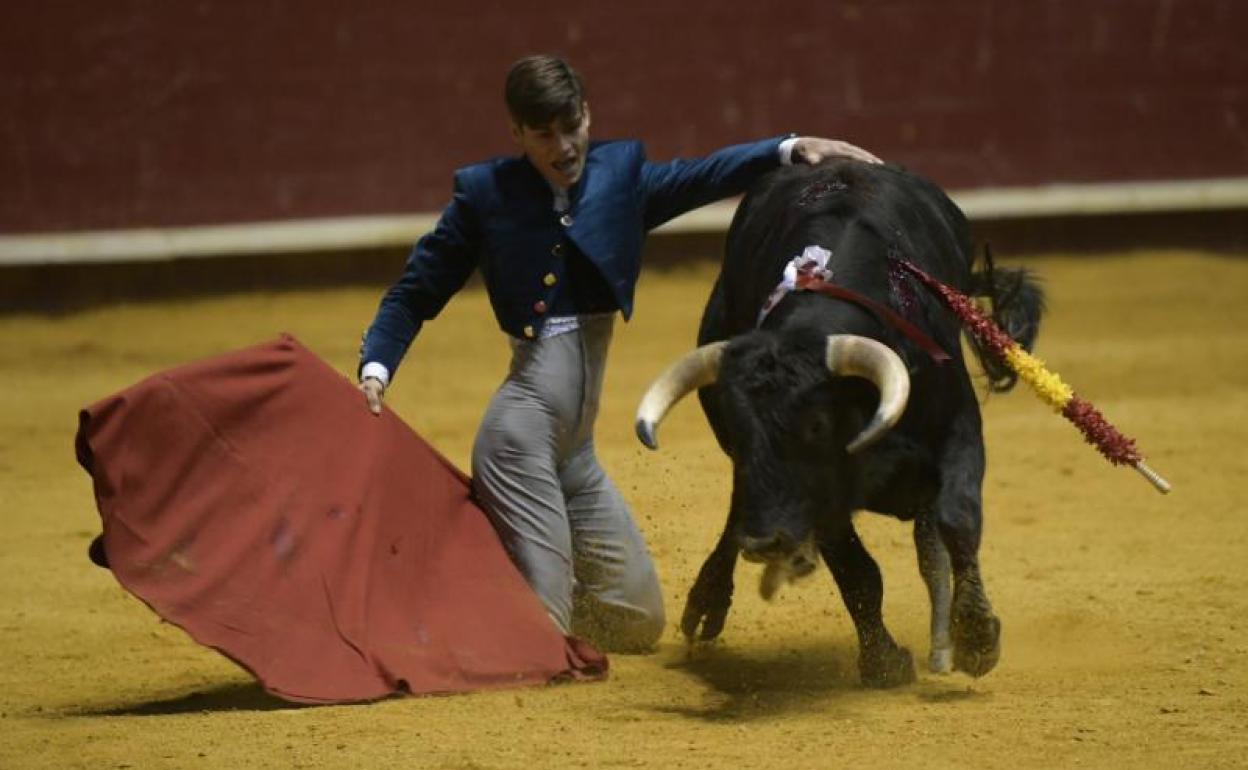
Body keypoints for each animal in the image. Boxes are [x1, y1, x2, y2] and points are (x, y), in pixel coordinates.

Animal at [633, 159, 1043, 688]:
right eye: (740, 434)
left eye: (815, 426)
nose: (765, 543)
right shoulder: (816, 494)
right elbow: (858, 570)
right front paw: (884, 661)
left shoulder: (960, 433)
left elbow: (958, 518)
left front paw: (976, 637)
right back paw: (708, 602)